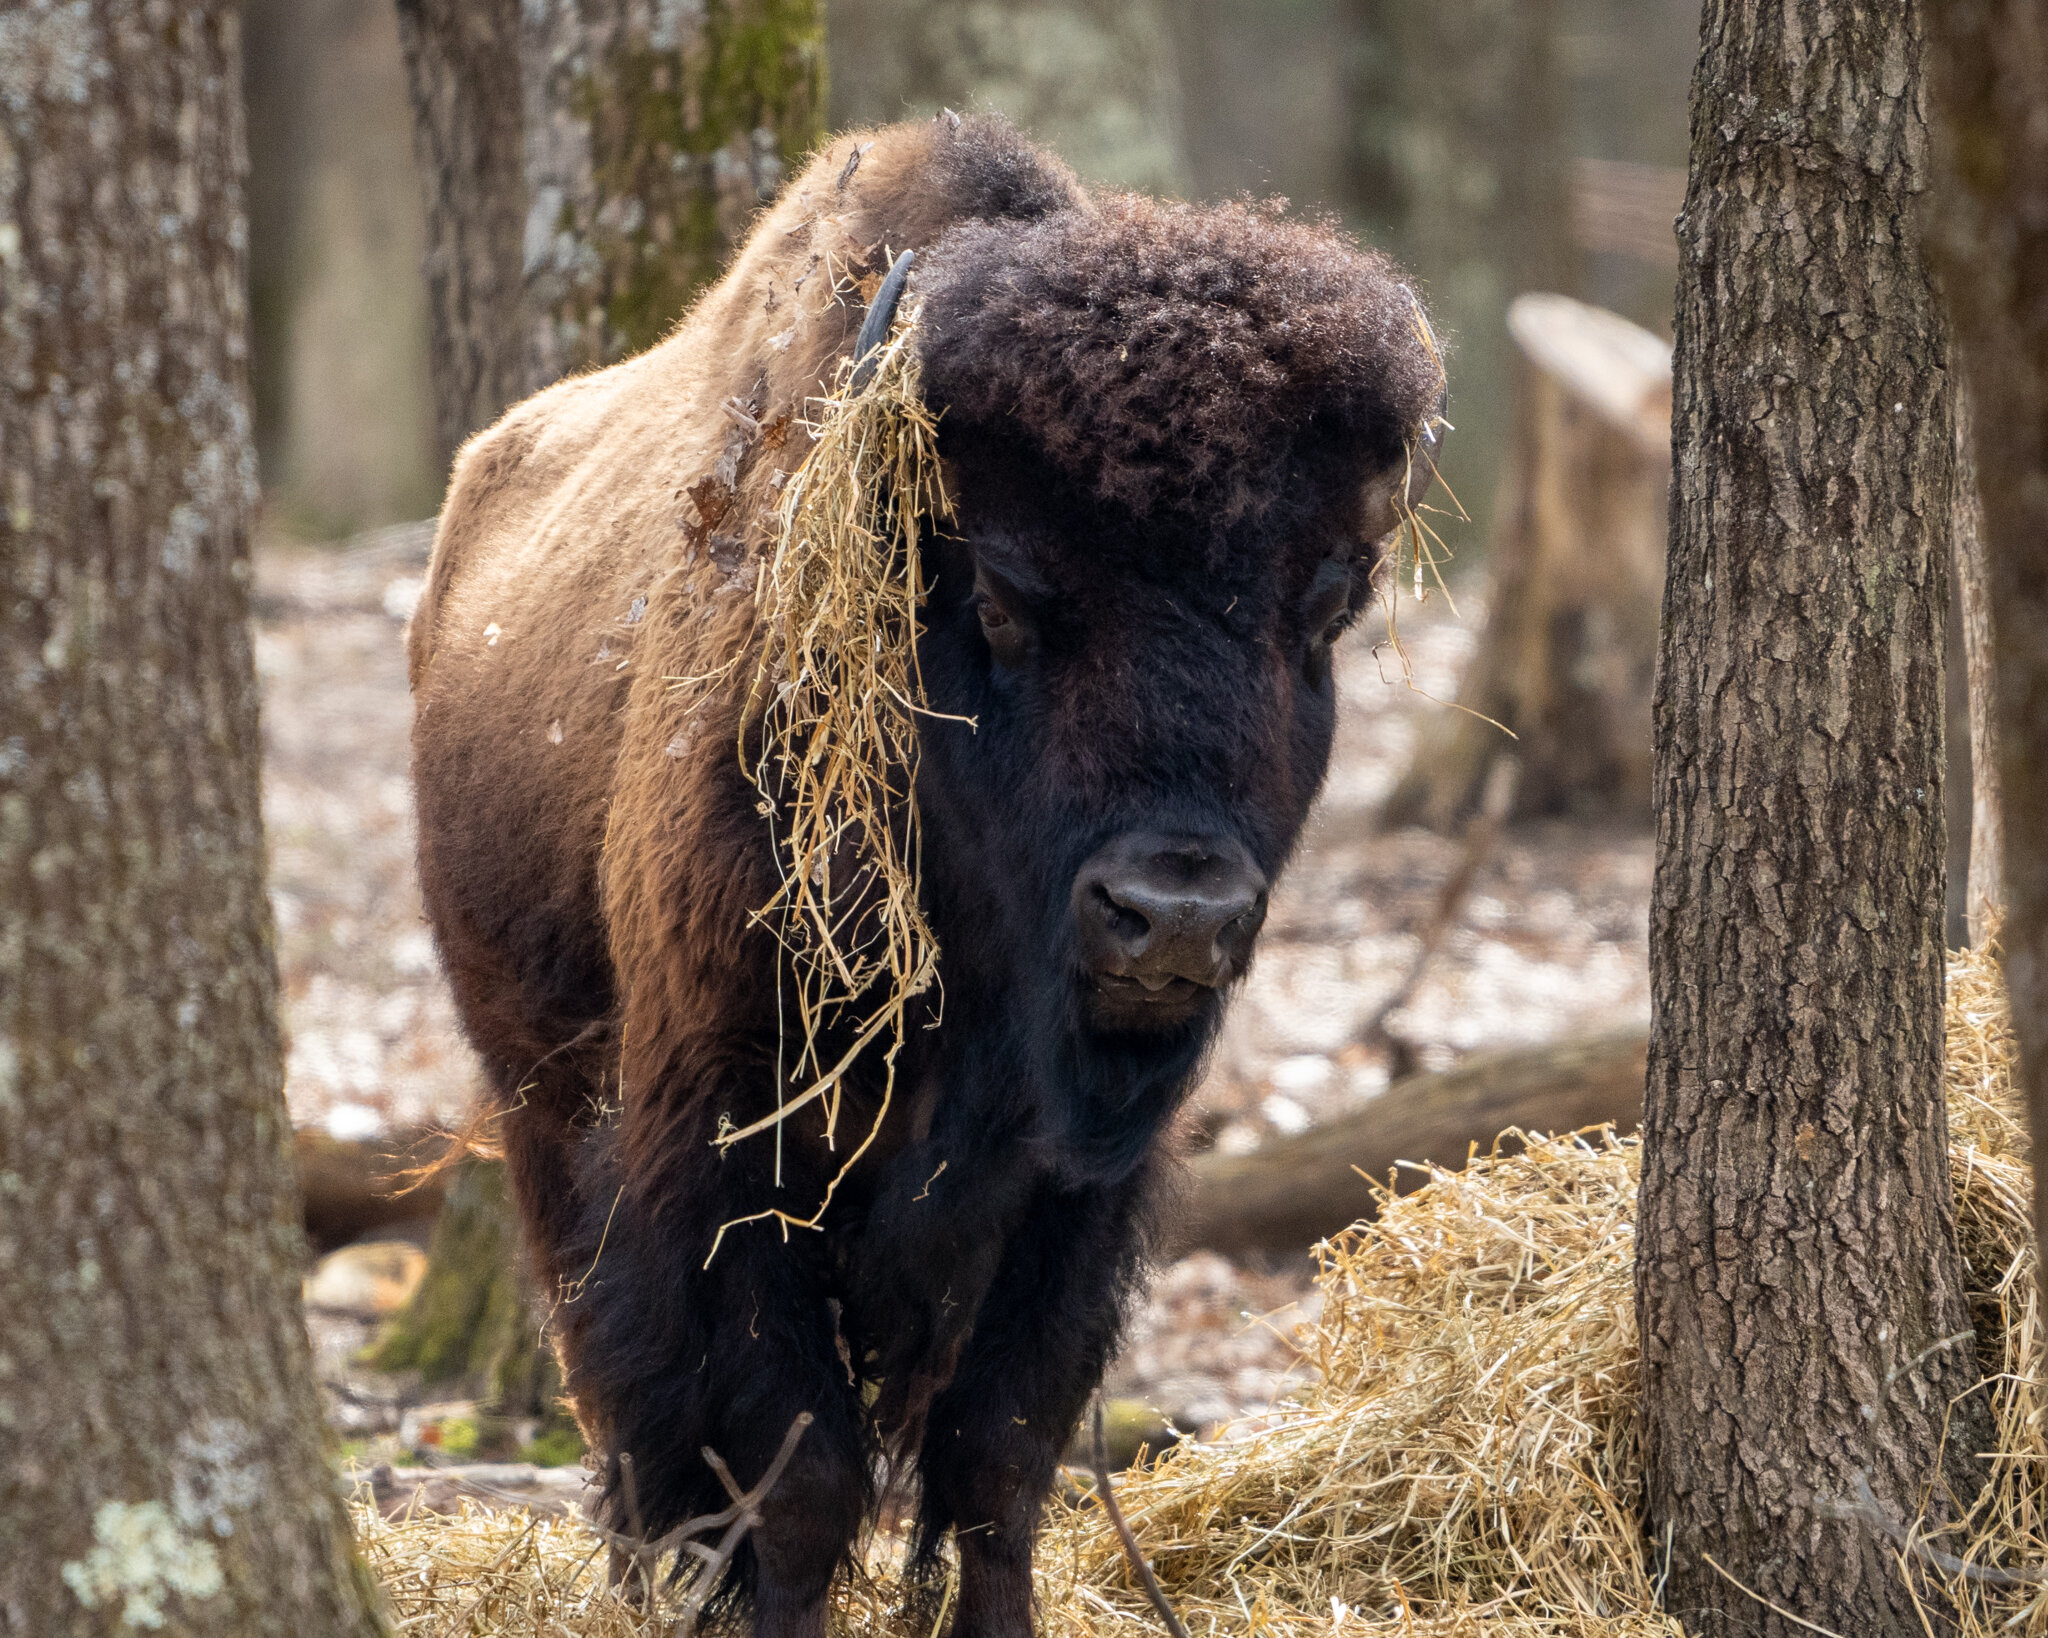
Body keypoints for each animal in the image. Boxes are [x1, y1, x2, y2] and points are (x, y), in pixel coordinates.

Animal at [408, 114, 1443, 1638]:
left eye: (1319, 607)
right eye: (1004, 595)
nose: (1171, 916)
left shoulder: (1077, 1192)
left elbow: (997, 1459)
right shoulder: (729, 1142)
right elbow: (798, 1468)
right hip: (541, 1098)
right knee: (615, 1385)